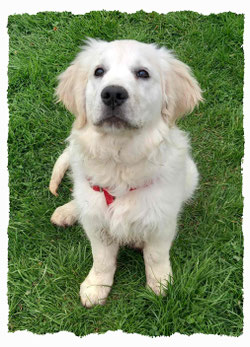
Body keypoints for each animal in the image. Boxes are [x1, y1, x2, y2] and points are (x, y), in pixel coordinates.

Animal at [49, 39, 203, 308]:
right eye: (99, 71)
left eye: (142, 73)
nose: (112, 93)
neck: (119, 158)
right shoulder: (98, 225)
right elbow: (101, 259)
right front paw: (96, 287)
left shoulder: (161, 220)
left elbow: (156, 256)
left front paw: (160, 283)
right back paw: (68, 211)